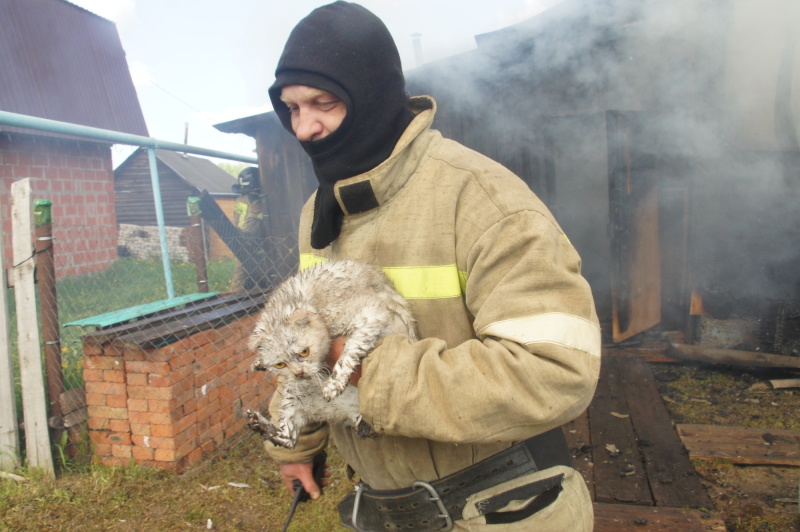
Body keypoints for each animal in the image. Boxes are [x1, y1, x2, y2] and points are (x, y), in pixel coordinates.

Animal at [247, 260, 416, 446]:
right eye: (280, 364)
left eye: (304, 352)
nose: (299, 373)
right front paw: (259, 363)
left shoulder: (371, 313)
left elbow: (350, 349)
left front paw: (334, 383)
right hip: (293, 397)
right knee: (287, 438)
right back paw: (258, 423)